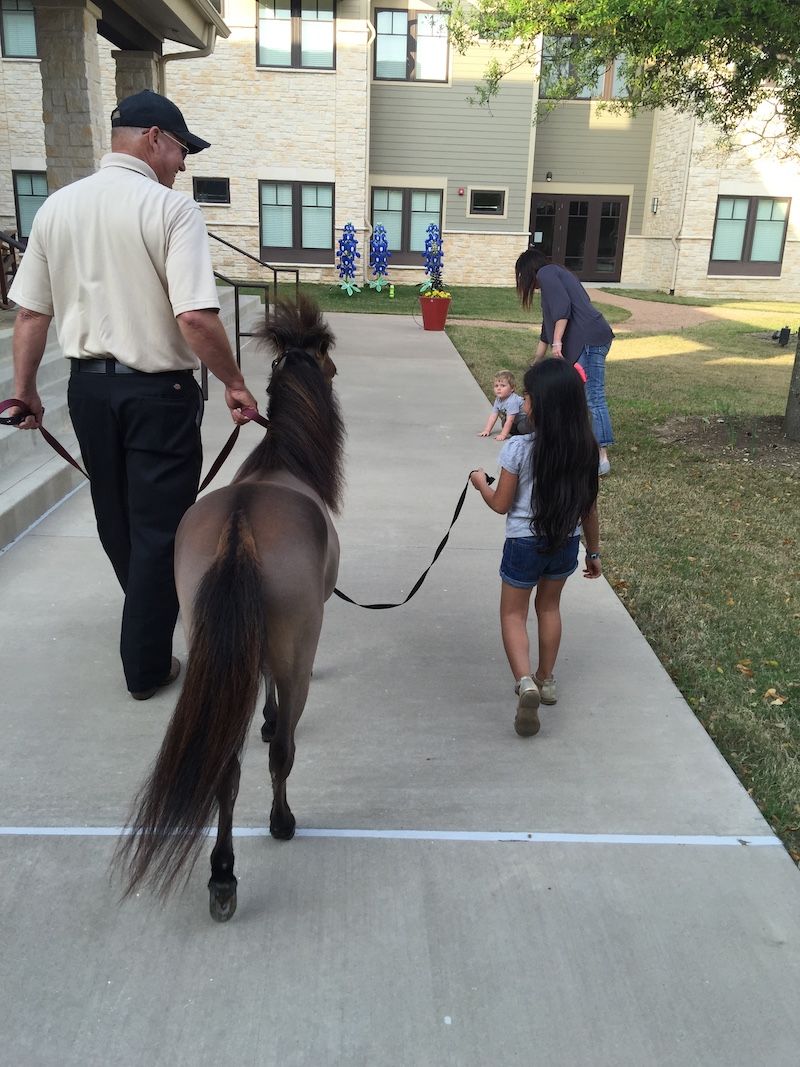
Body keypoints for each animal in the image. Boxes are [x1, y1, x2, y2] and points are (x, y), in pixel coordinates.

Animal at [114, 295, 344, 922]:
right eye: (326, 360)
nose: (334, 373)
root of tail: (241, 525)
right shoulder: (288, 649)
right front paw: (267, 725)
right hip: (295, 655)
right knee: (283, 751)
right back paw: (280, 824)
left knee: (226, 765)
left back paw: (222, 874)